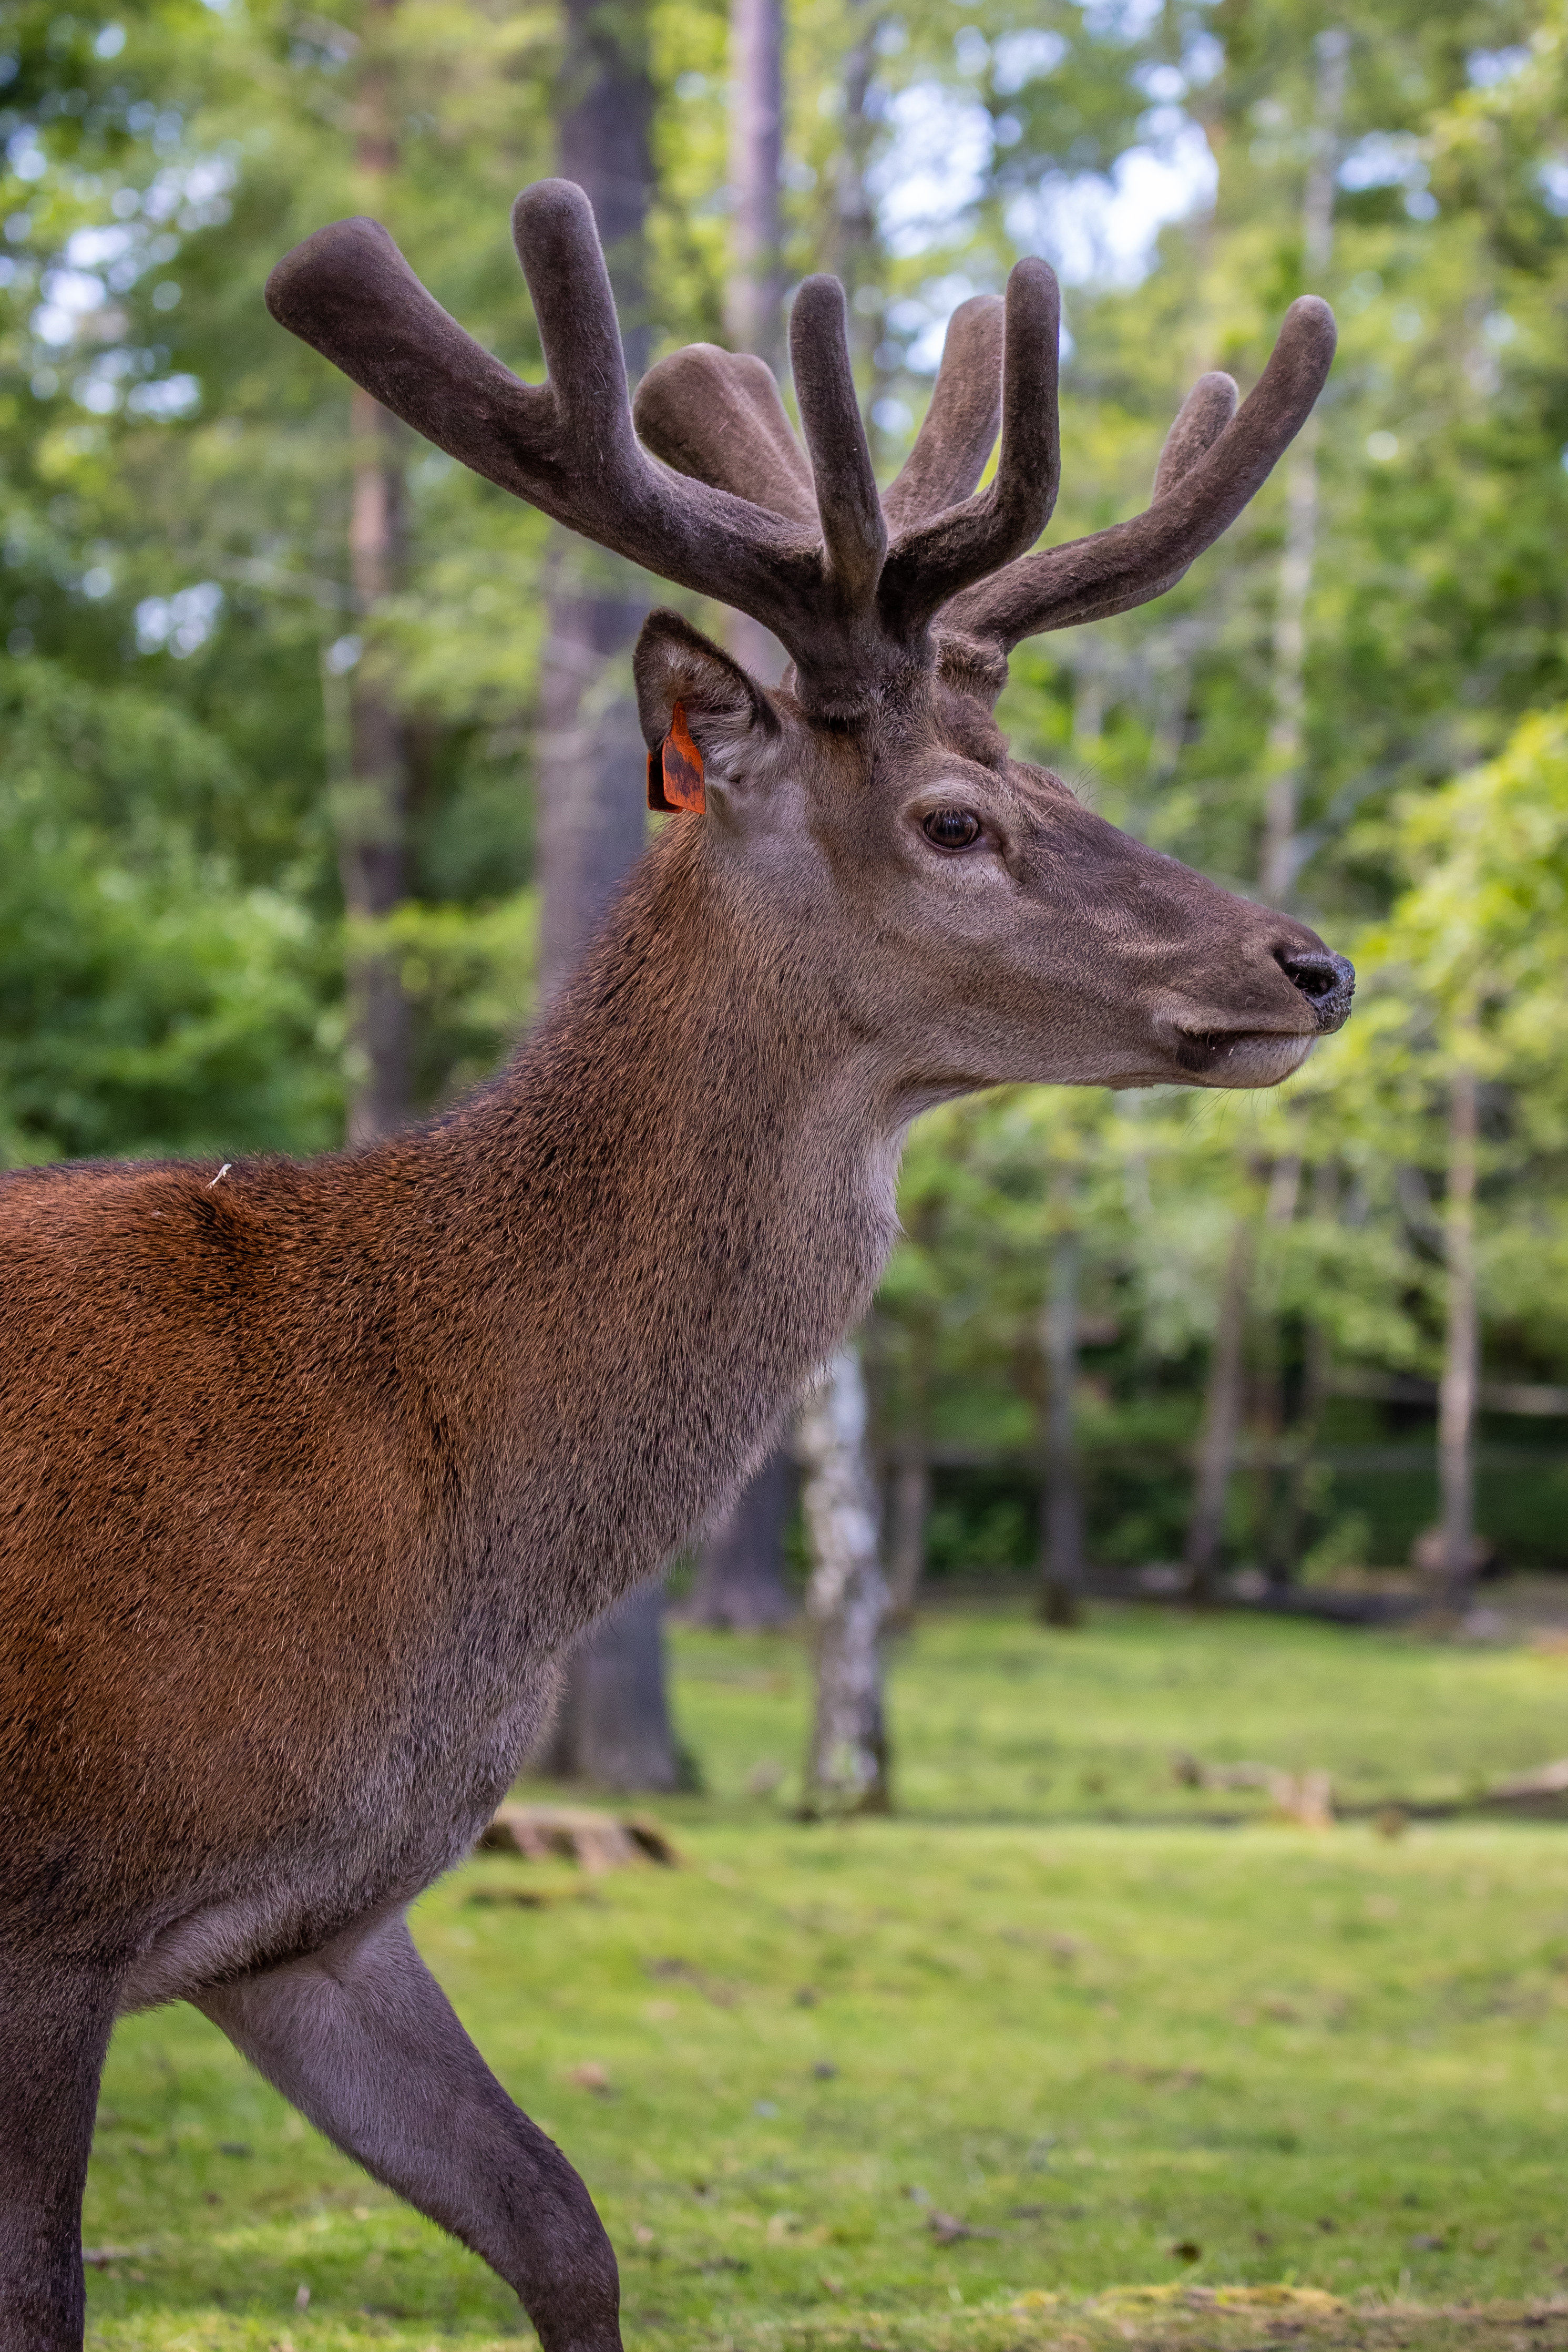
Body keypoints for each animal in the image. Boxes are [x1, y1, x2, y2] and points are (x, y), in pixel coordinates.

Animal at [0, 177, 1352, 2352]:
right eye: (954, 819)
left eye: (1058, 780)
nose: (1308, 962)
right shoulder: (51, 1907)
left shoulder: (308, 1922)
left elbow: (565, 2220)